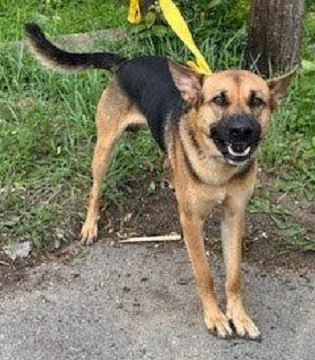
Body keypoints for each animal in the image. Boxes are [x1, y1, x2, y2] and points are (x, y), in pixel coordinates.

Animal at [25, 23, 298, 338]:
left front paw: (238, 315)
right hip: (104, 148)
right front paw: (215, 316)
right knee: (95, 189)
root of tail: (127, 62)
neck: (219, 169)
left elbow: (234, 276)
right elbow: (205, 274)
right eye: (219, 99)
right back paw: (90, 225)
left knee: (165, 159)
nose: (242, 131)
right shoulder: (191, 221)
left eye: (257, 101)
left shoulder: (234, 216)